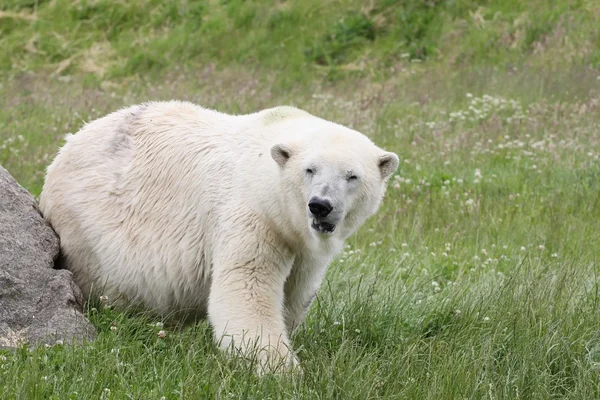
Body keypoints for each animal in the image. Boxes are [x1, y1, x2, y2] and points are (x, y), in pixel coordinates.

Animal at [41, 101, 398, 374]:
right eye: (309, 169)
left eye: (352, 176)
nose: (321, 205)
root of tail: (65, 147)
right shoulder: (251, 214)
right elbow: (247, 289)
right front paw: (282, 370)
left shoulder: (303, 246)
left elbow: (296, 293)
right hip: (84, 227)